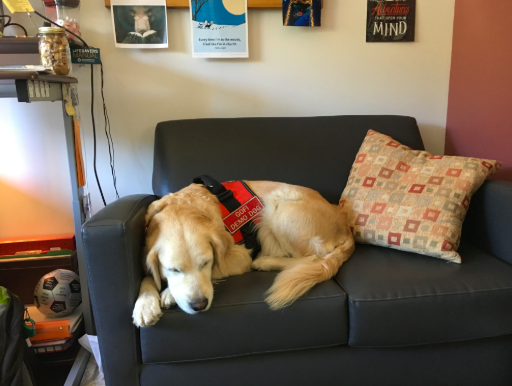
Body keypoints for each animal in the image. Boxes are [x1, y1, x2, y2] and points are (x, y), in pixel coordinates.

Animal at [132, 181, 354, 326]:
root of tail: (345, 225)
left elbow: (216, 269)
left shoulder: (240, 256)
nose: (199, 305)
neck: (184, 207)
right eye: (173, 270)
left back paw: (265, 262)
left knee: (311, 259)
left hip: (279, 204)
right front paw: (145, 305)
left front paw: (168, 293)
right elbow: (148, 275)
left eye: (206, 263)